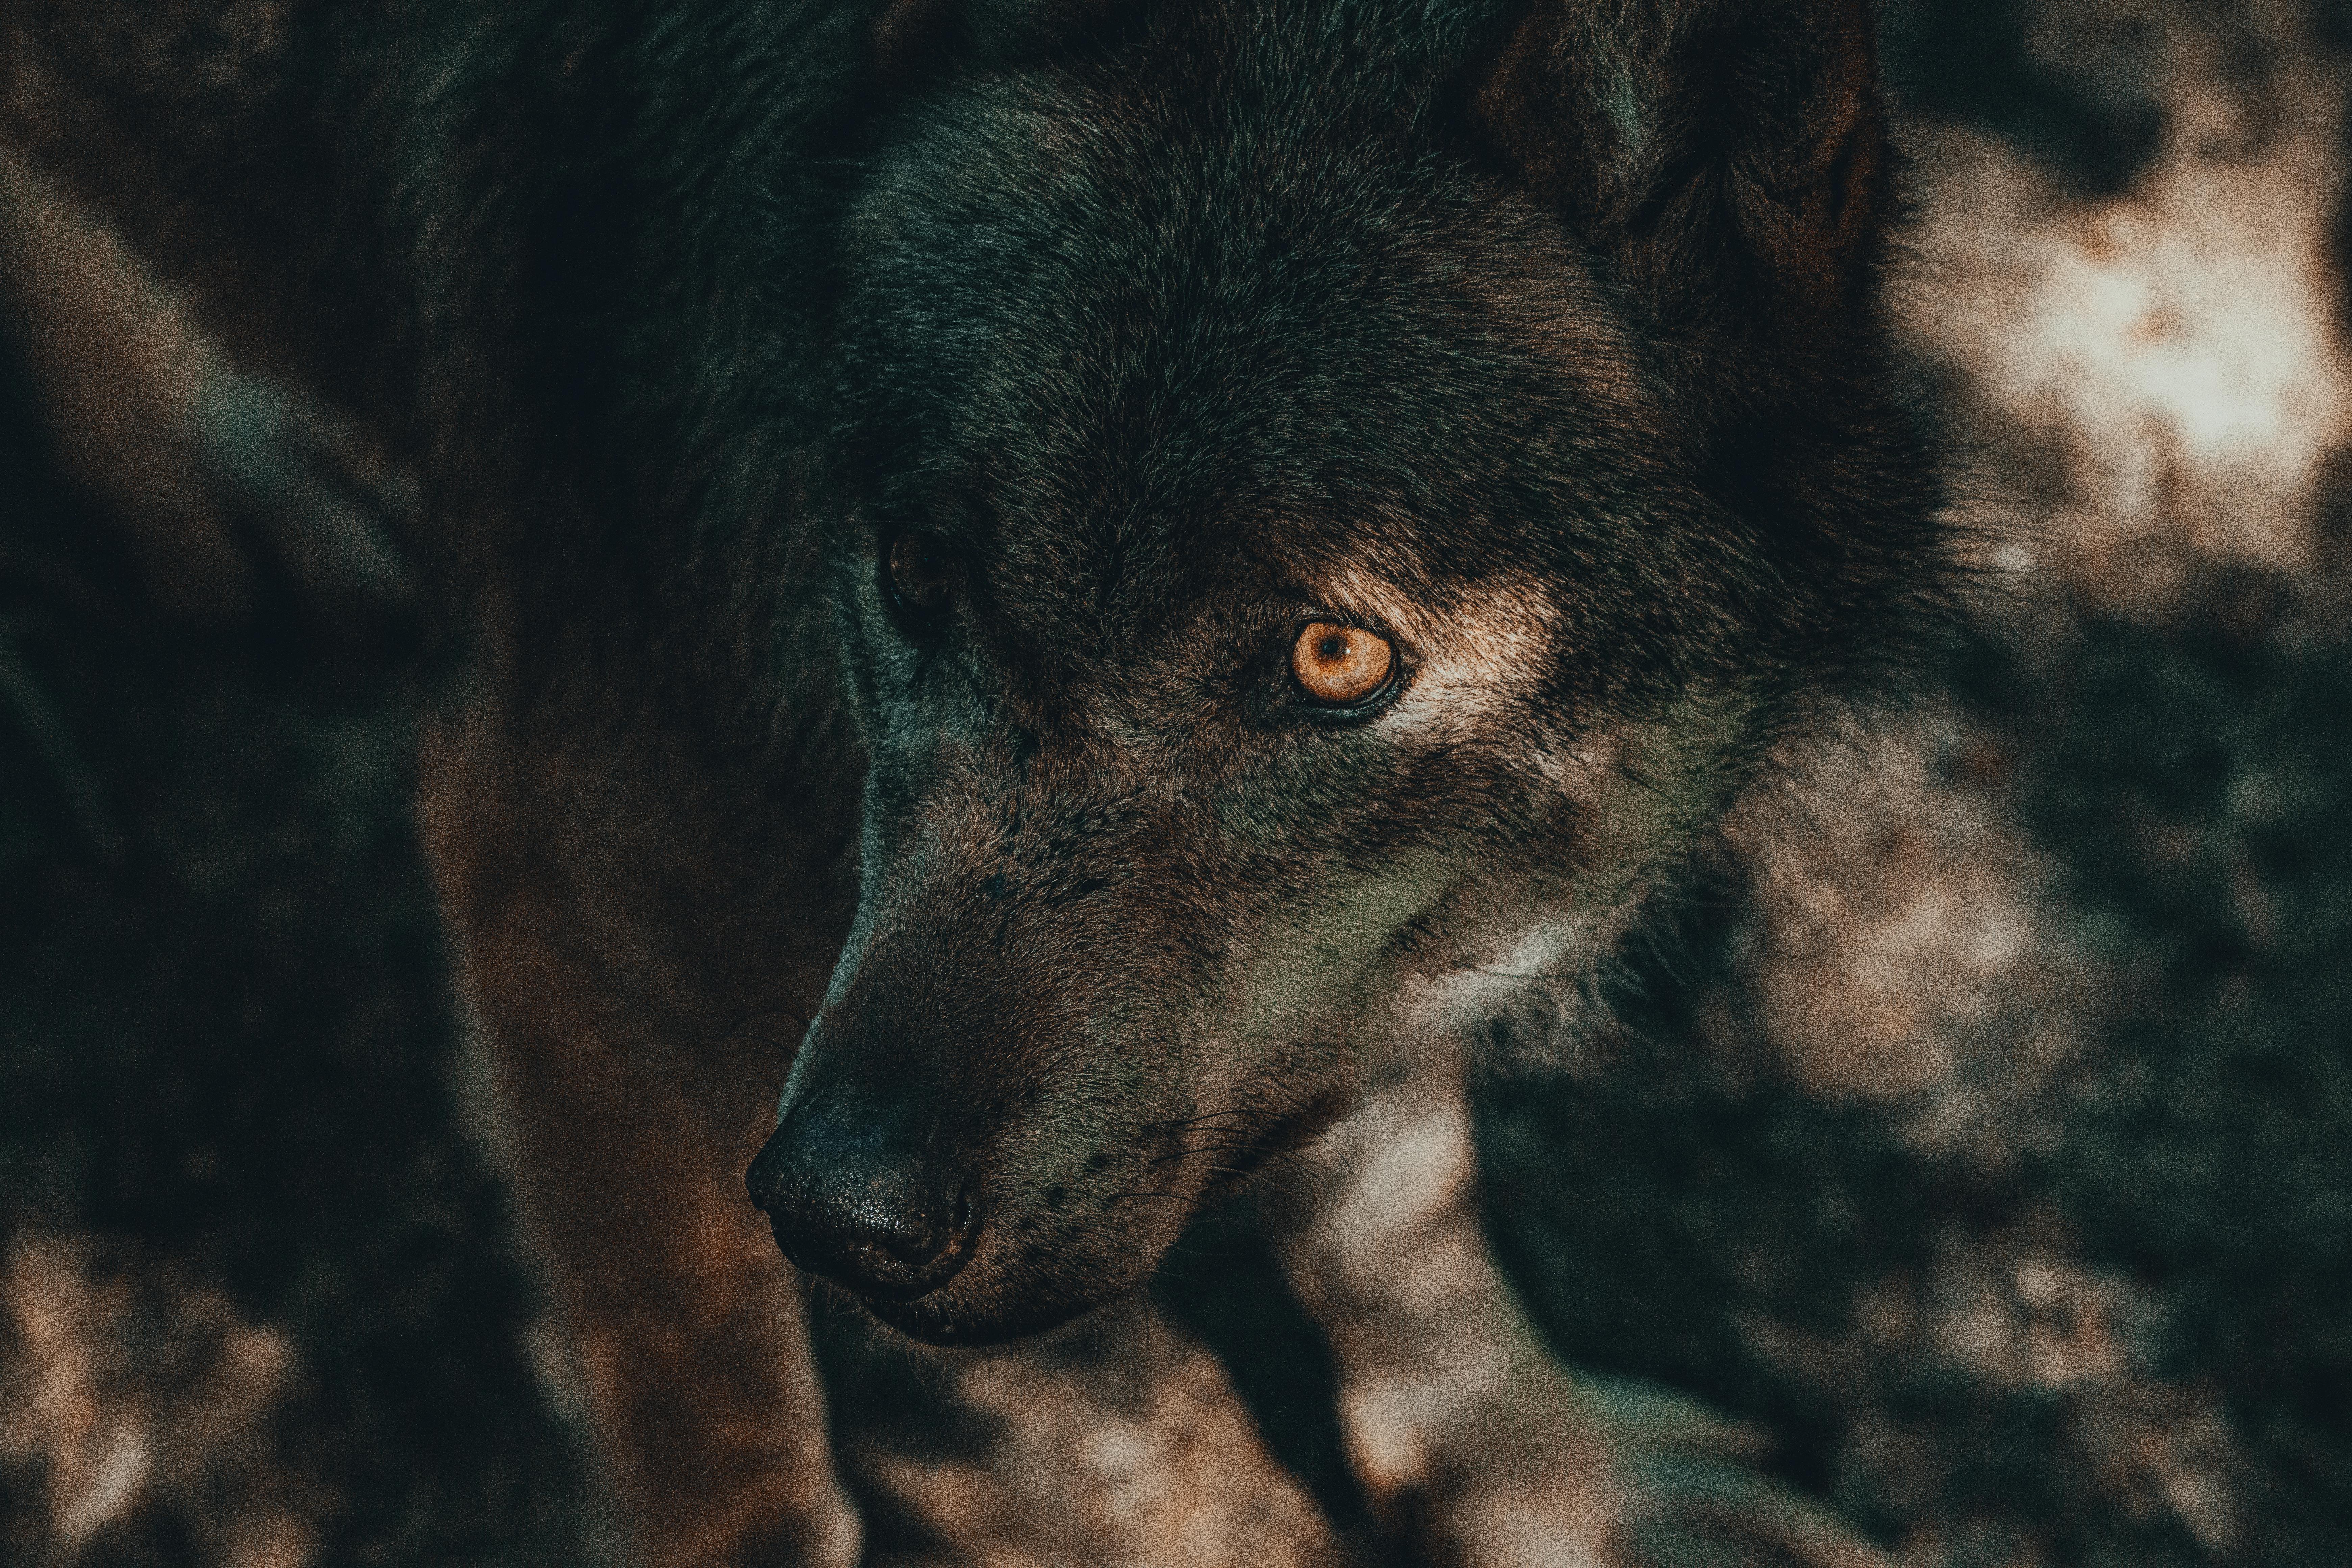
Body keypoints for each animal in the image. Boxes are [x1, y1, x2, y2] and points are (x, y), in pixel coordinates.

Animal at [0, 0, 1949, 1562]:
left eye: (1333, 660)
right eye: (919, 572)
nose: (835, 1216)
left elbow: (1404, 1199)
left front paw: (1548, 1487)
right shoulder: (557, 916)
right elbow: (744, 1488)